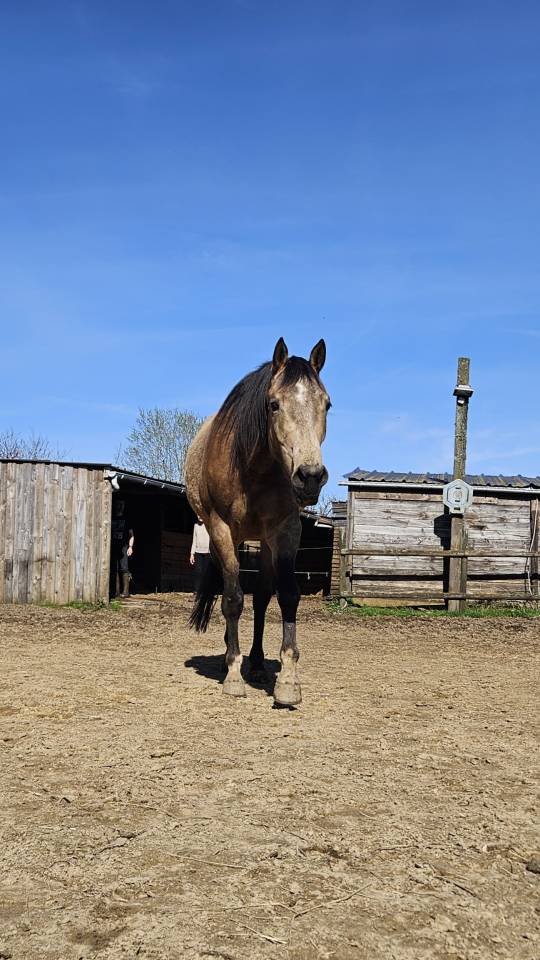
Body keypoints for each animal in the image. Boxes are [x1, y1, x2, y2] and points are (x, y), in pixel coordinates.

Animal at [185, 337, 330, 706]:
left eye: (327, 404)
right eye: (274, 404)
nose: (310, 477)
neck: (253, 469)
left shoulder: (287, 529)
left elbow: (287, 595)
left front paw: (287, 681)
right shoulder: (221, 528)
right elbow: (234, 599)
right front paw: (233, 675)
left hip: (262, 540)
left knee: (263, 596)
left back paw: (258, 663)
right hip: (226, 537)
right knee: (230, 591)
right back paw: (230, 655)